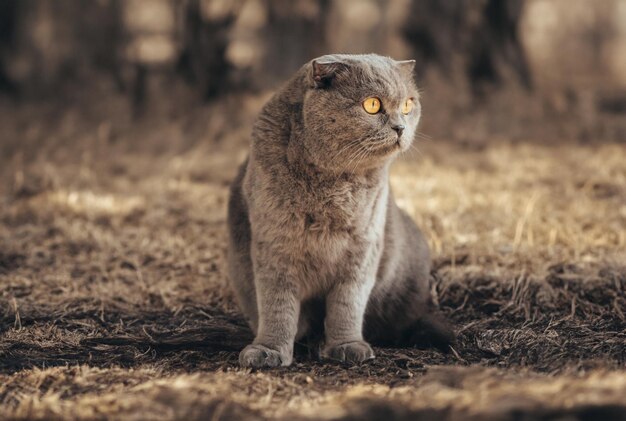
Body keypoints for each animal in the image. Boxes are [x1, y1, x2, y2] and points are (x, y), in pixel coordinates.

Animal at [227, 53, 450, 368]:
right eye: (372, 105)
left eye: (408, 104)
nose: (401, 128)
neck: (335, 187)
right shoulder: (274, 243)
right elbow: (276, 304)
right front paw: (268, 350)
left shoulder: (363, 247)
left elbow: (348, 302)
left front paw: (346, 346)